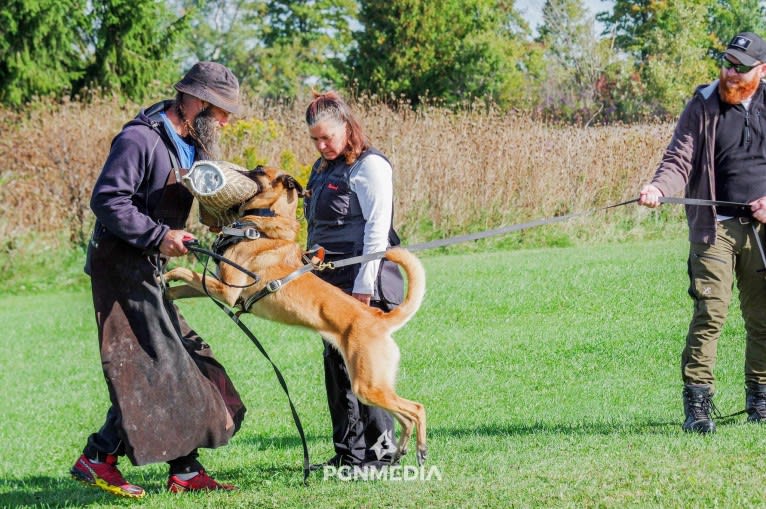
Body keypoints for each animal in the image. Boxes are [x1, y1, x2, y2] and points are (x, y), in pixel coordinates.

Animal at [166, 167, 428, 464]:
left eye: (257, 170)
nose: (237, 170)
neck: (264, 224)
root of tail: (378, 318)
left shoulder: (226, 290)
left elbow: (186, 273)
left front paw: (166, 274)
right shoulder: (216, 286)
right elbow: (184, 287)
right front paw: (165, 289)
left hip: (367, 385)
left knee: (417, 408)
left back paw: (420, 449)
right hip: (376, 384)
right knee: (404, 415)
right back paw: (402, 449)